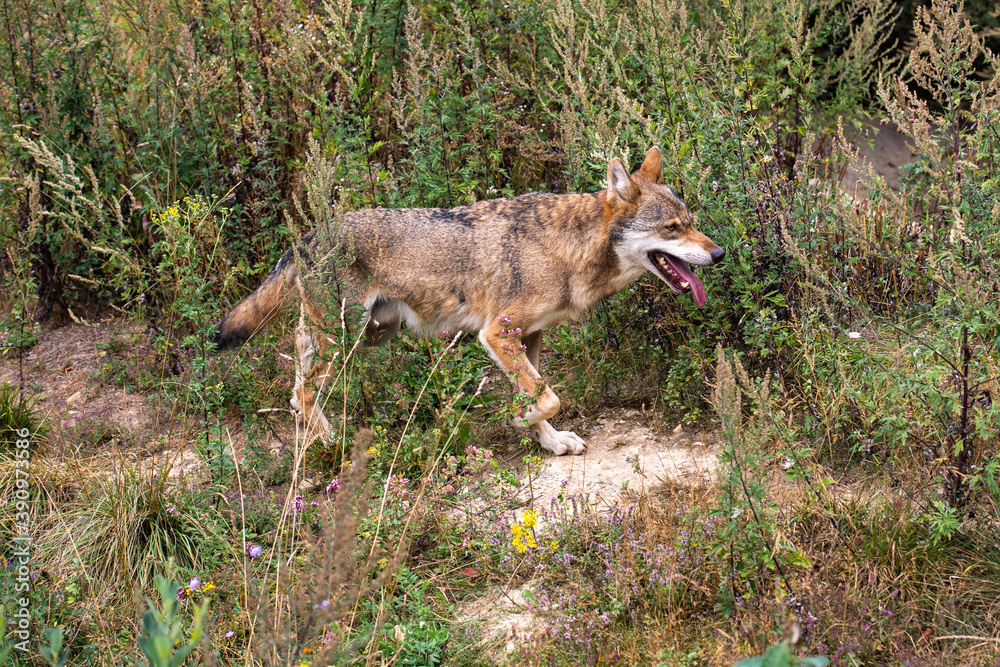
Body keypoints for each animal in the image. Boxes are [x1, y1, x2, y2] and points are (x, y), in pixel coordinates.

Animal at [214, 147, 725, 455]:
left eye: (691, 221)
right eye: (672, 229)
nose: (719, 253)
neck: (568, 248)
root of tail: (309, 235)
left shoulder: (528, 337)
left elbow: (540, 393)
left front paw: (550, 442)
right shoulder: (496, 334)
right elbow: (549, 397)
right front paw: (522, 421)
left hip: (367, 335)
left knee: (297, 382)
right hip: (348, 339)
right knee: (303, 389)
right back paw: (334, 445)